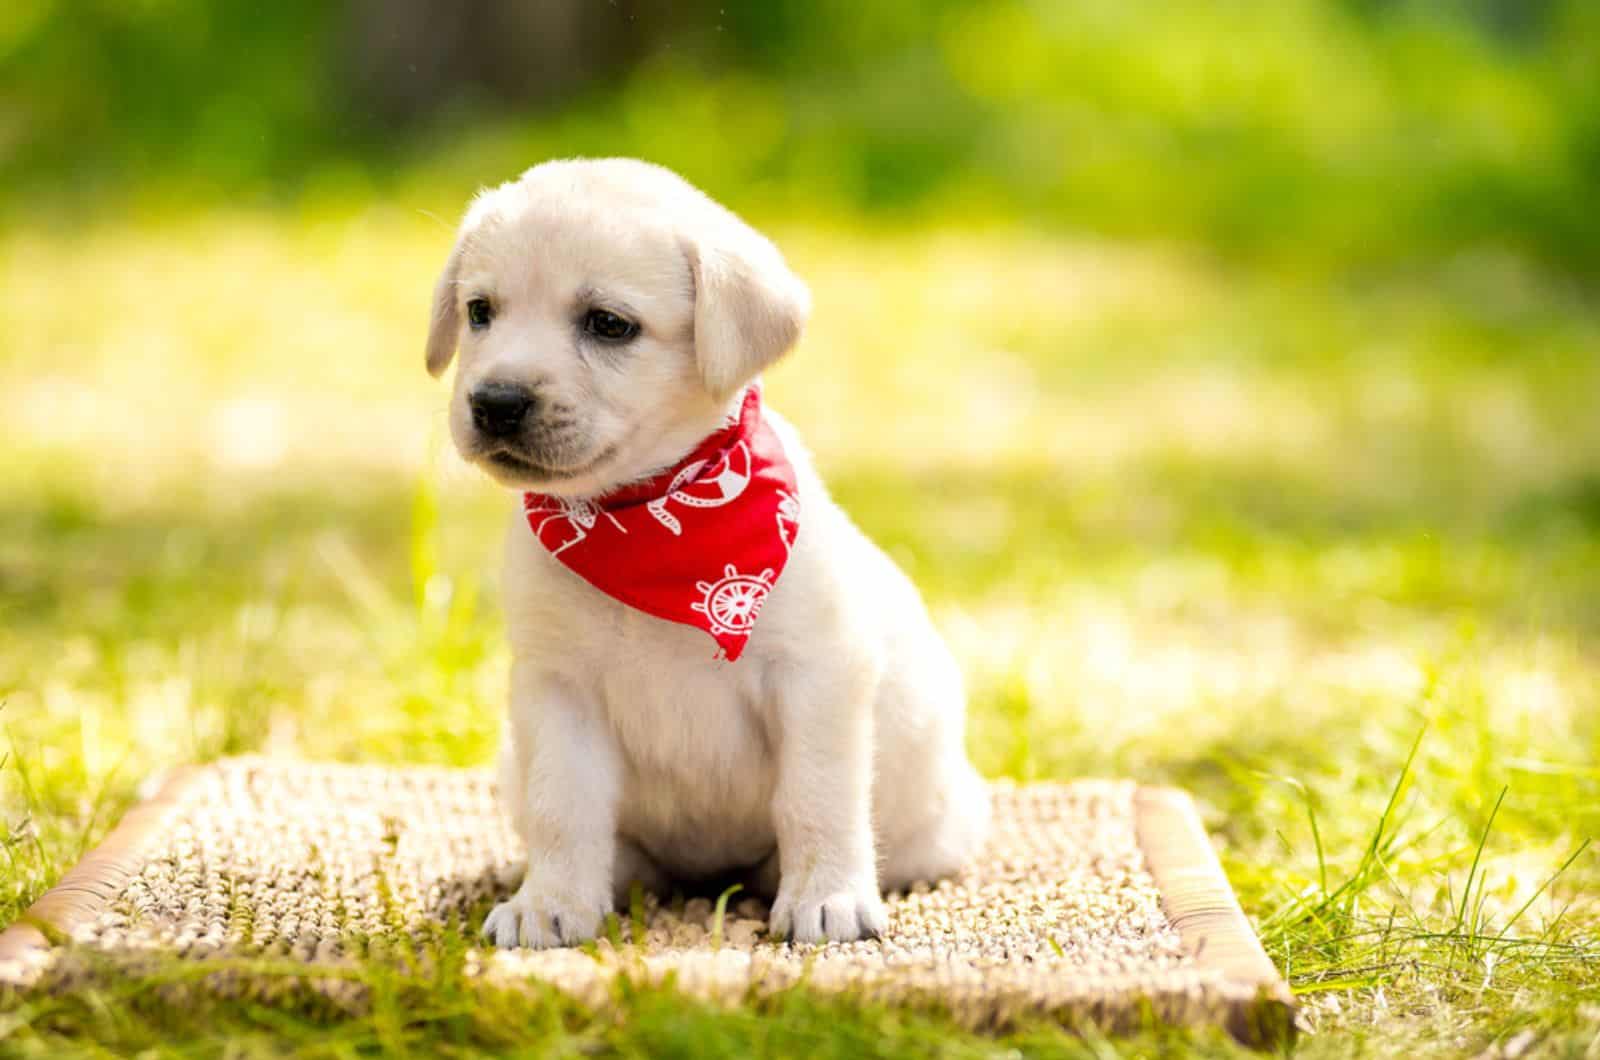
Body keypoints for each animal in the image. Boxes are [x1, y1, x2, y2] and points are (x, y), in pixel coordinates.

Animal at [432, 157, 992, 947]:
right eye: (480, 311)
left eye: (609, 324)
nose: (496, 402)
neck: (643, 523)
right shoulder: (557, 689)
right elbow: (562, 808)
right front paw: (551, 901)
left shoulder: (816, 674)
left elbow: (815, 797)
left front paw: (826, 895)